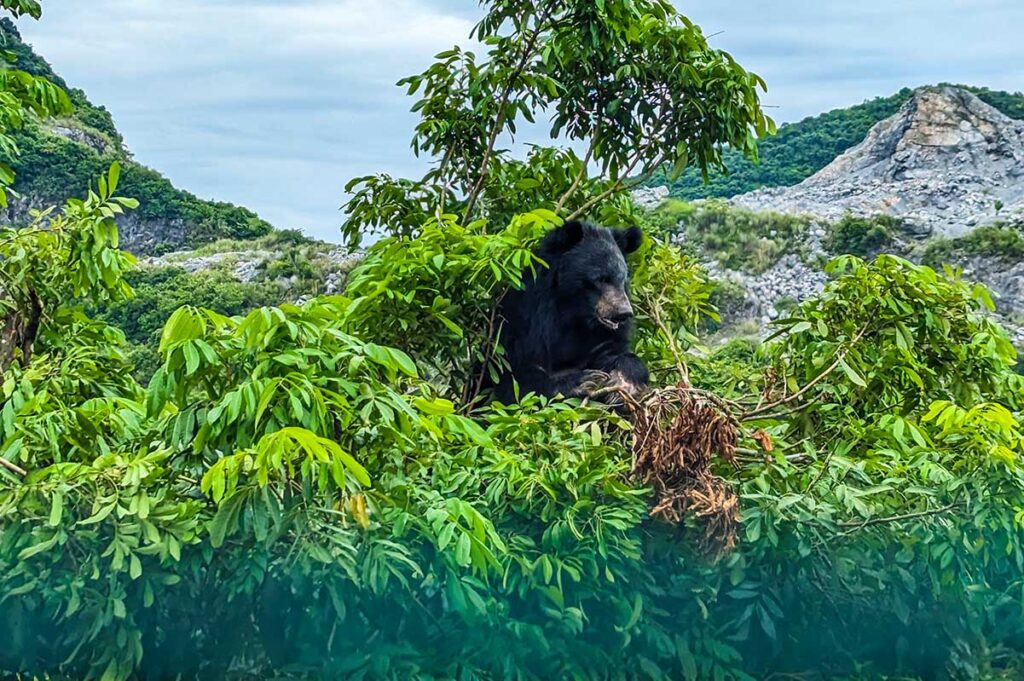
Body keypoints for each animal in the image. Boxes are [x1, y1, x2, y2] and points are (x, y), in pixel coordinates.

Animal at [493, 220, 647, 403]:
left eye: (622, 279)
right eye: (601, 279)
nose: (624, 313)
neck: (576, 313)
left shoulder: (602, 334)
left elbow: (613, 351)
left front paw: (623, 383)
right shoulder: (526, 319)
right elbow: (516, 376)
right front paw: (583, 381)